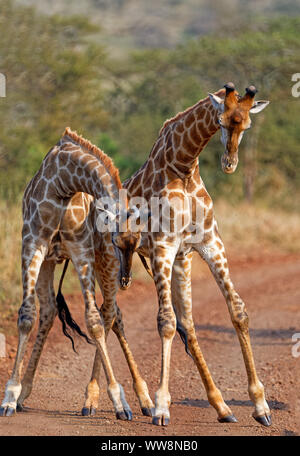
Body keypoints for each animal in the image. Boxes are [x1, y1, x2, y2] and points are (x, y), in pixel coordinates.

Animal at [0, 126, 154, 418]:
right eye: (117, 240)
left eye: (137, 241)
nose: (127, 280)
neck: (63, 182)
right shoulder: (32, 244)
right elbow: (27, 316)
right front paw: (10, 396)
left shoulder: (82, 250)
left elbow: (93, 320)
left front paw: (119, 401)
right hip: (59, 262)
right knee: (51, 311)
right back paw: (25, 393)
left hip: (103, 263)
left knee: (111, 314)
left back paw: (139, 400)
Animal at [82, 80, 272, 426]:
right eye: (221, 121)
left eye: (247, 124)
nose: (229, 164)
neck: (184, 167)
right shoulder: (163, 247)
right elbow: (166, 322)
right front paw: (161, 407)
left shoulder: (208, 244)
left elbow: (237, 312)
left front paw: (260, 405)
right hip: (107, 261)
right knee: (107, 314)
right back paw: (96, 400)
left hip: (159, 264)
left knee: (181, 324)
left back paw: (219, 406)